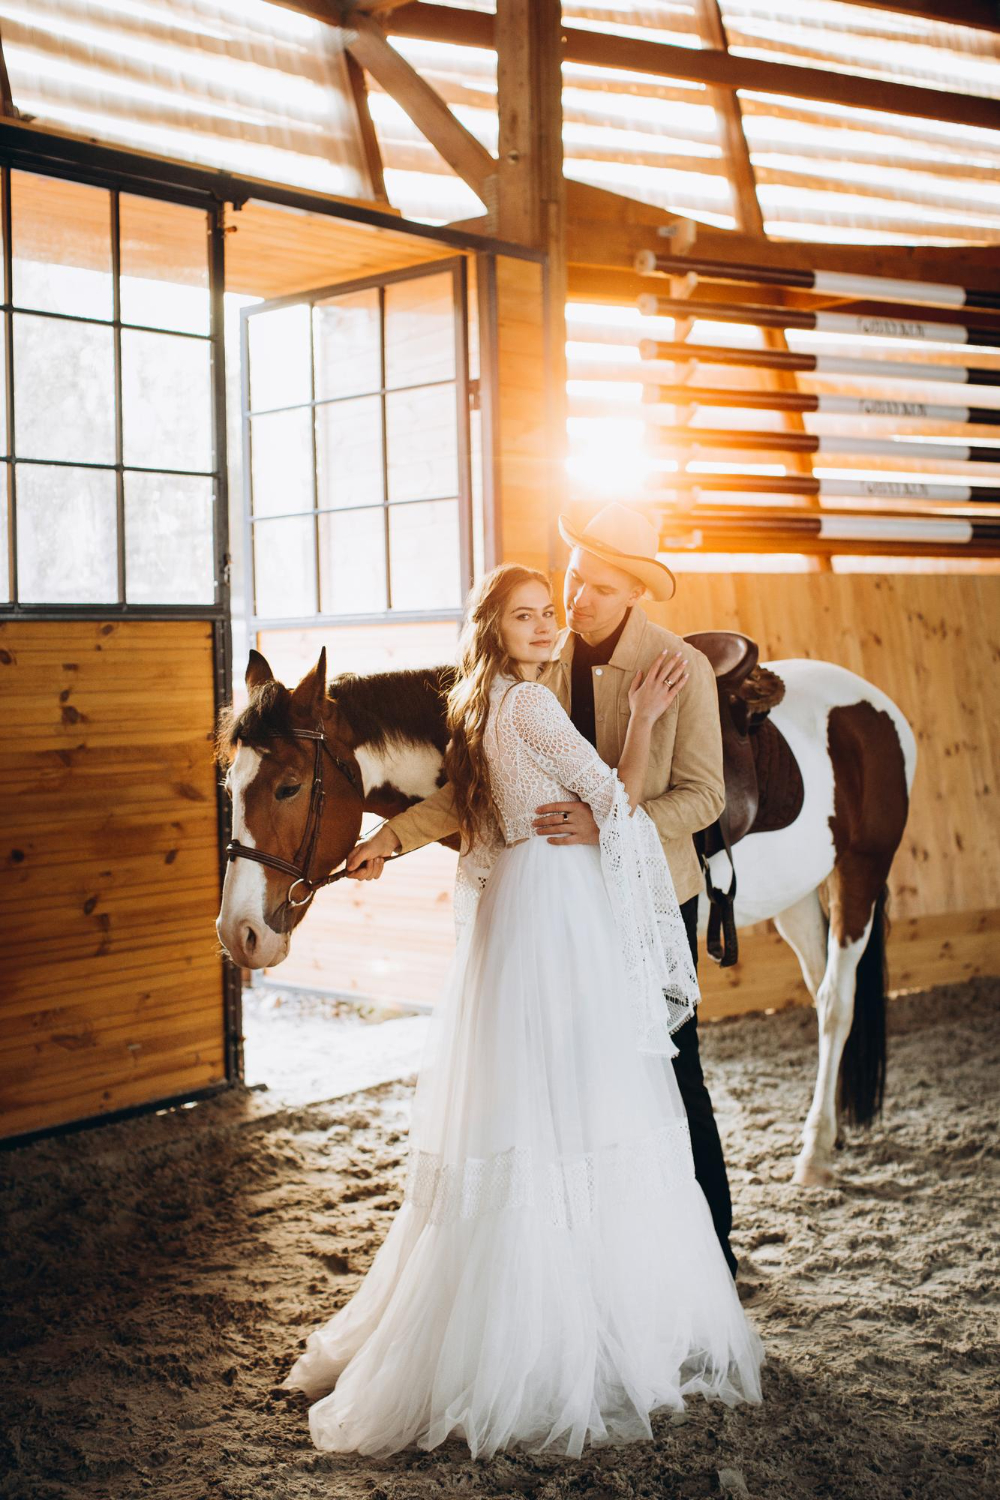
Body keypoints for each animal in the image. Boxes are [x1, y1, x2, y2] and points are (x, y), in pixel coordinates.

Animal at [217, 645, 917, 1182]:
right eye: (230, 788)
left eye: (287, 787)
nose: (238, 933)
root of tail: (873, 706)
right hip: (797, 900)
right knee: (820, 993)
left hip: (860, 873)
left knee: (836, 1004)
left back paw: (815, 1153)